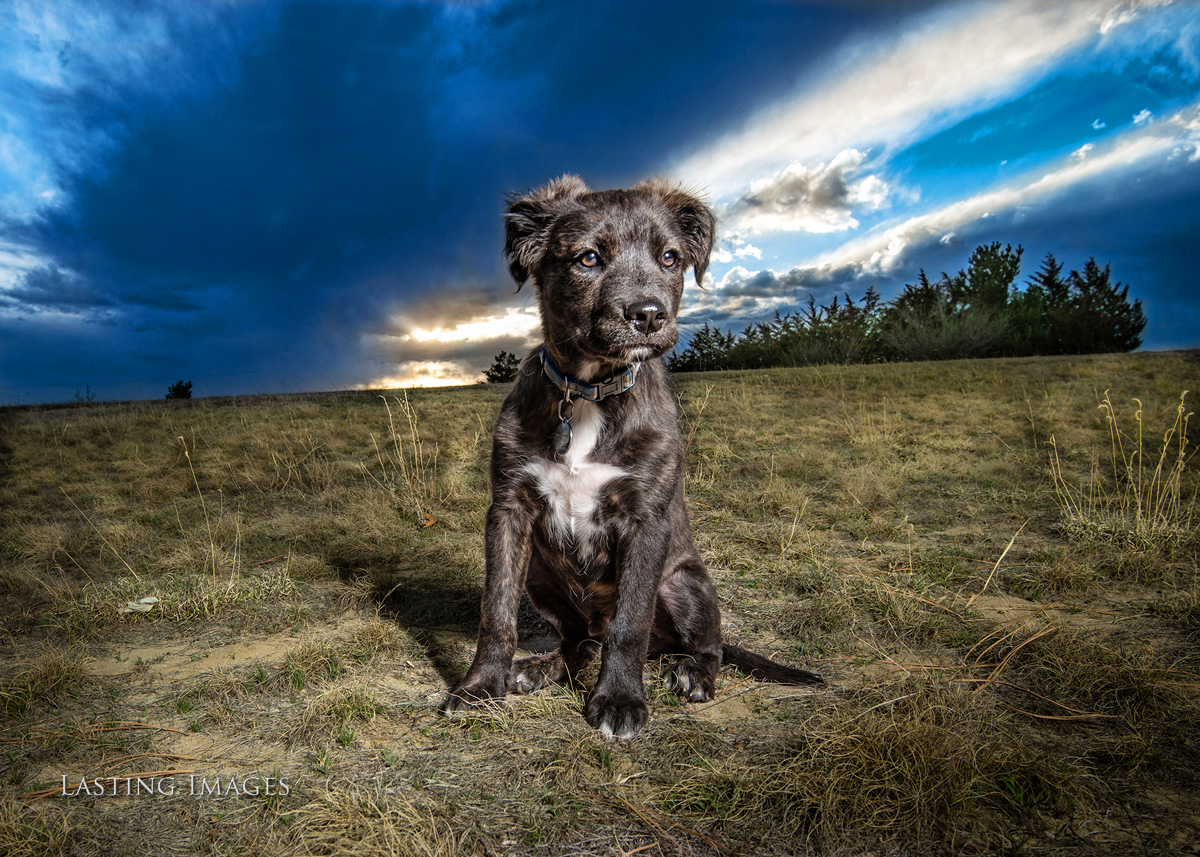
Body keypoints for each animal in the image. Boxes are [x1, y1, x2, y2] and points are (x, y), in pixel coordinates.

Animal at [444, 174, 825, 734]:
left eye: (670, 258)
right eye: (587, 258)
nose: (648, 315)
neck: (587, 392)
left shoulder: (646, 521)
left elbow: (631, 622)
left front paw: (620, 700)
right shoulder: (509, 511)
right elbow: (496, 612)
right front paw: (479, 686)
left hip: (687, 582)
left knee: (703, 645)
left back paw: (694, 675)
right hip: (540, 574)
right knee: (580, 642)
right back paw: (541, 668)